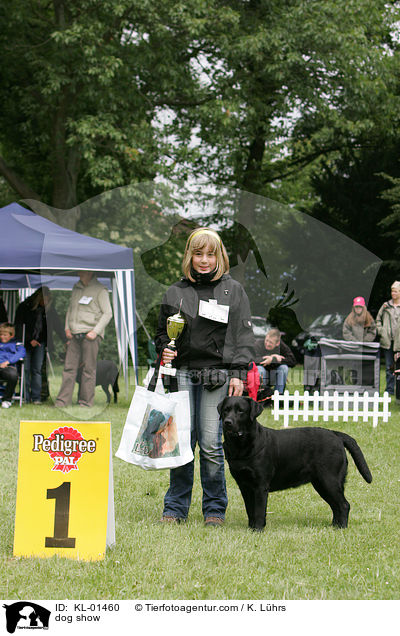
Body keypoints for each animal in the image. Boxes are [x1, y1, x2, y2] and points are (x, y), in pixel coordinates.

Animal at [219, 396, 372, 528]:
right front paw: (251, 529)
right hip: (321, 483)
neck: (241, 446)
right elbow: (250, 510)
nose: (227, 422)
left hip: (329, 480)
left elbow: (259, 511)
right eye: (226, 410)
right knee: (336, 506)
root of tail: (335, 434)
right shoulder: (244, 485)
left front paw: (257, 529)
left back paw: (341, 527)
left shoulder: (260, 486)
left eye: (241, 411)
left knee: (344, 505)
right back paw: (334, 526)